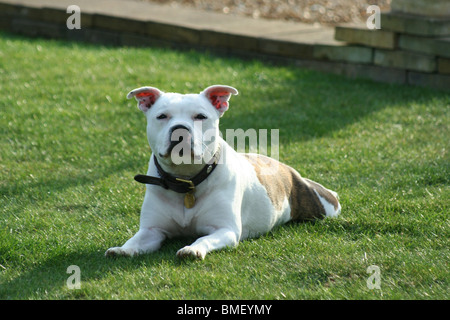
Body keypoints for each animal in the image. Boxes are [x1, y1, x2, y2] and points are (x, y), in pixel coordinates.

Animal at [105, 85, 340, 260]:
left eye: (201, 116)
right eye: (162, 116)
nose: (180, 130)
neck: (186, 180)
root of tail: (287, 169)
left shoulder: (225, 229)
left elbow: (204, 238)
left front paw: (192, 248)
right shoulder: (152, 230)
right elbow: (136, 240)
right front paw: (123, 249)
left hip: (321, 207)